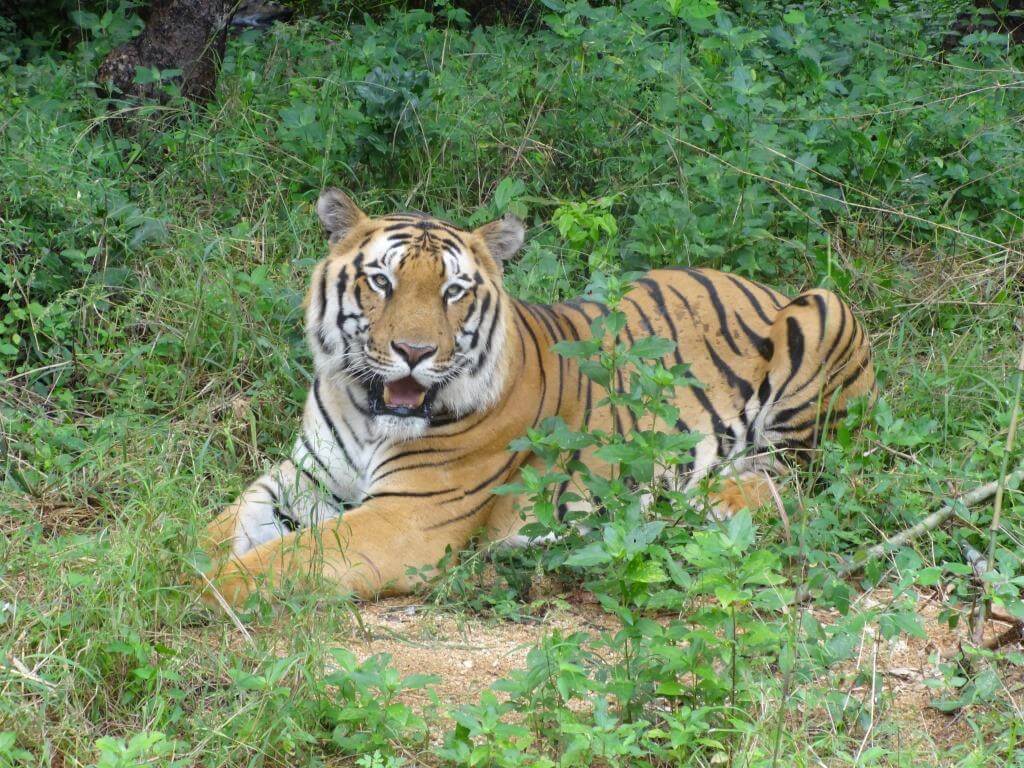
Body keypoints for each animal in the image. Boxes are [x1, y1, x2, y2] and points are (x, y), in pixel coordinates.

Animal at [197, 191, 872, 606]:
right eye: (381, 281)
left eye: (453, 291)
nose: (414, 351)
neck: (369, 413)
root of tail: (758, 283)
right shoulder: (302, 477)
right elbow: (217, 526)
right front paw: (178, 560)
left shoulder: (405, 519)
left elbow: (282, 561)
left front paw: (197, 592)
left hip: (824, 311)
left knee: (797, 479)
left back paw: (710, 501)